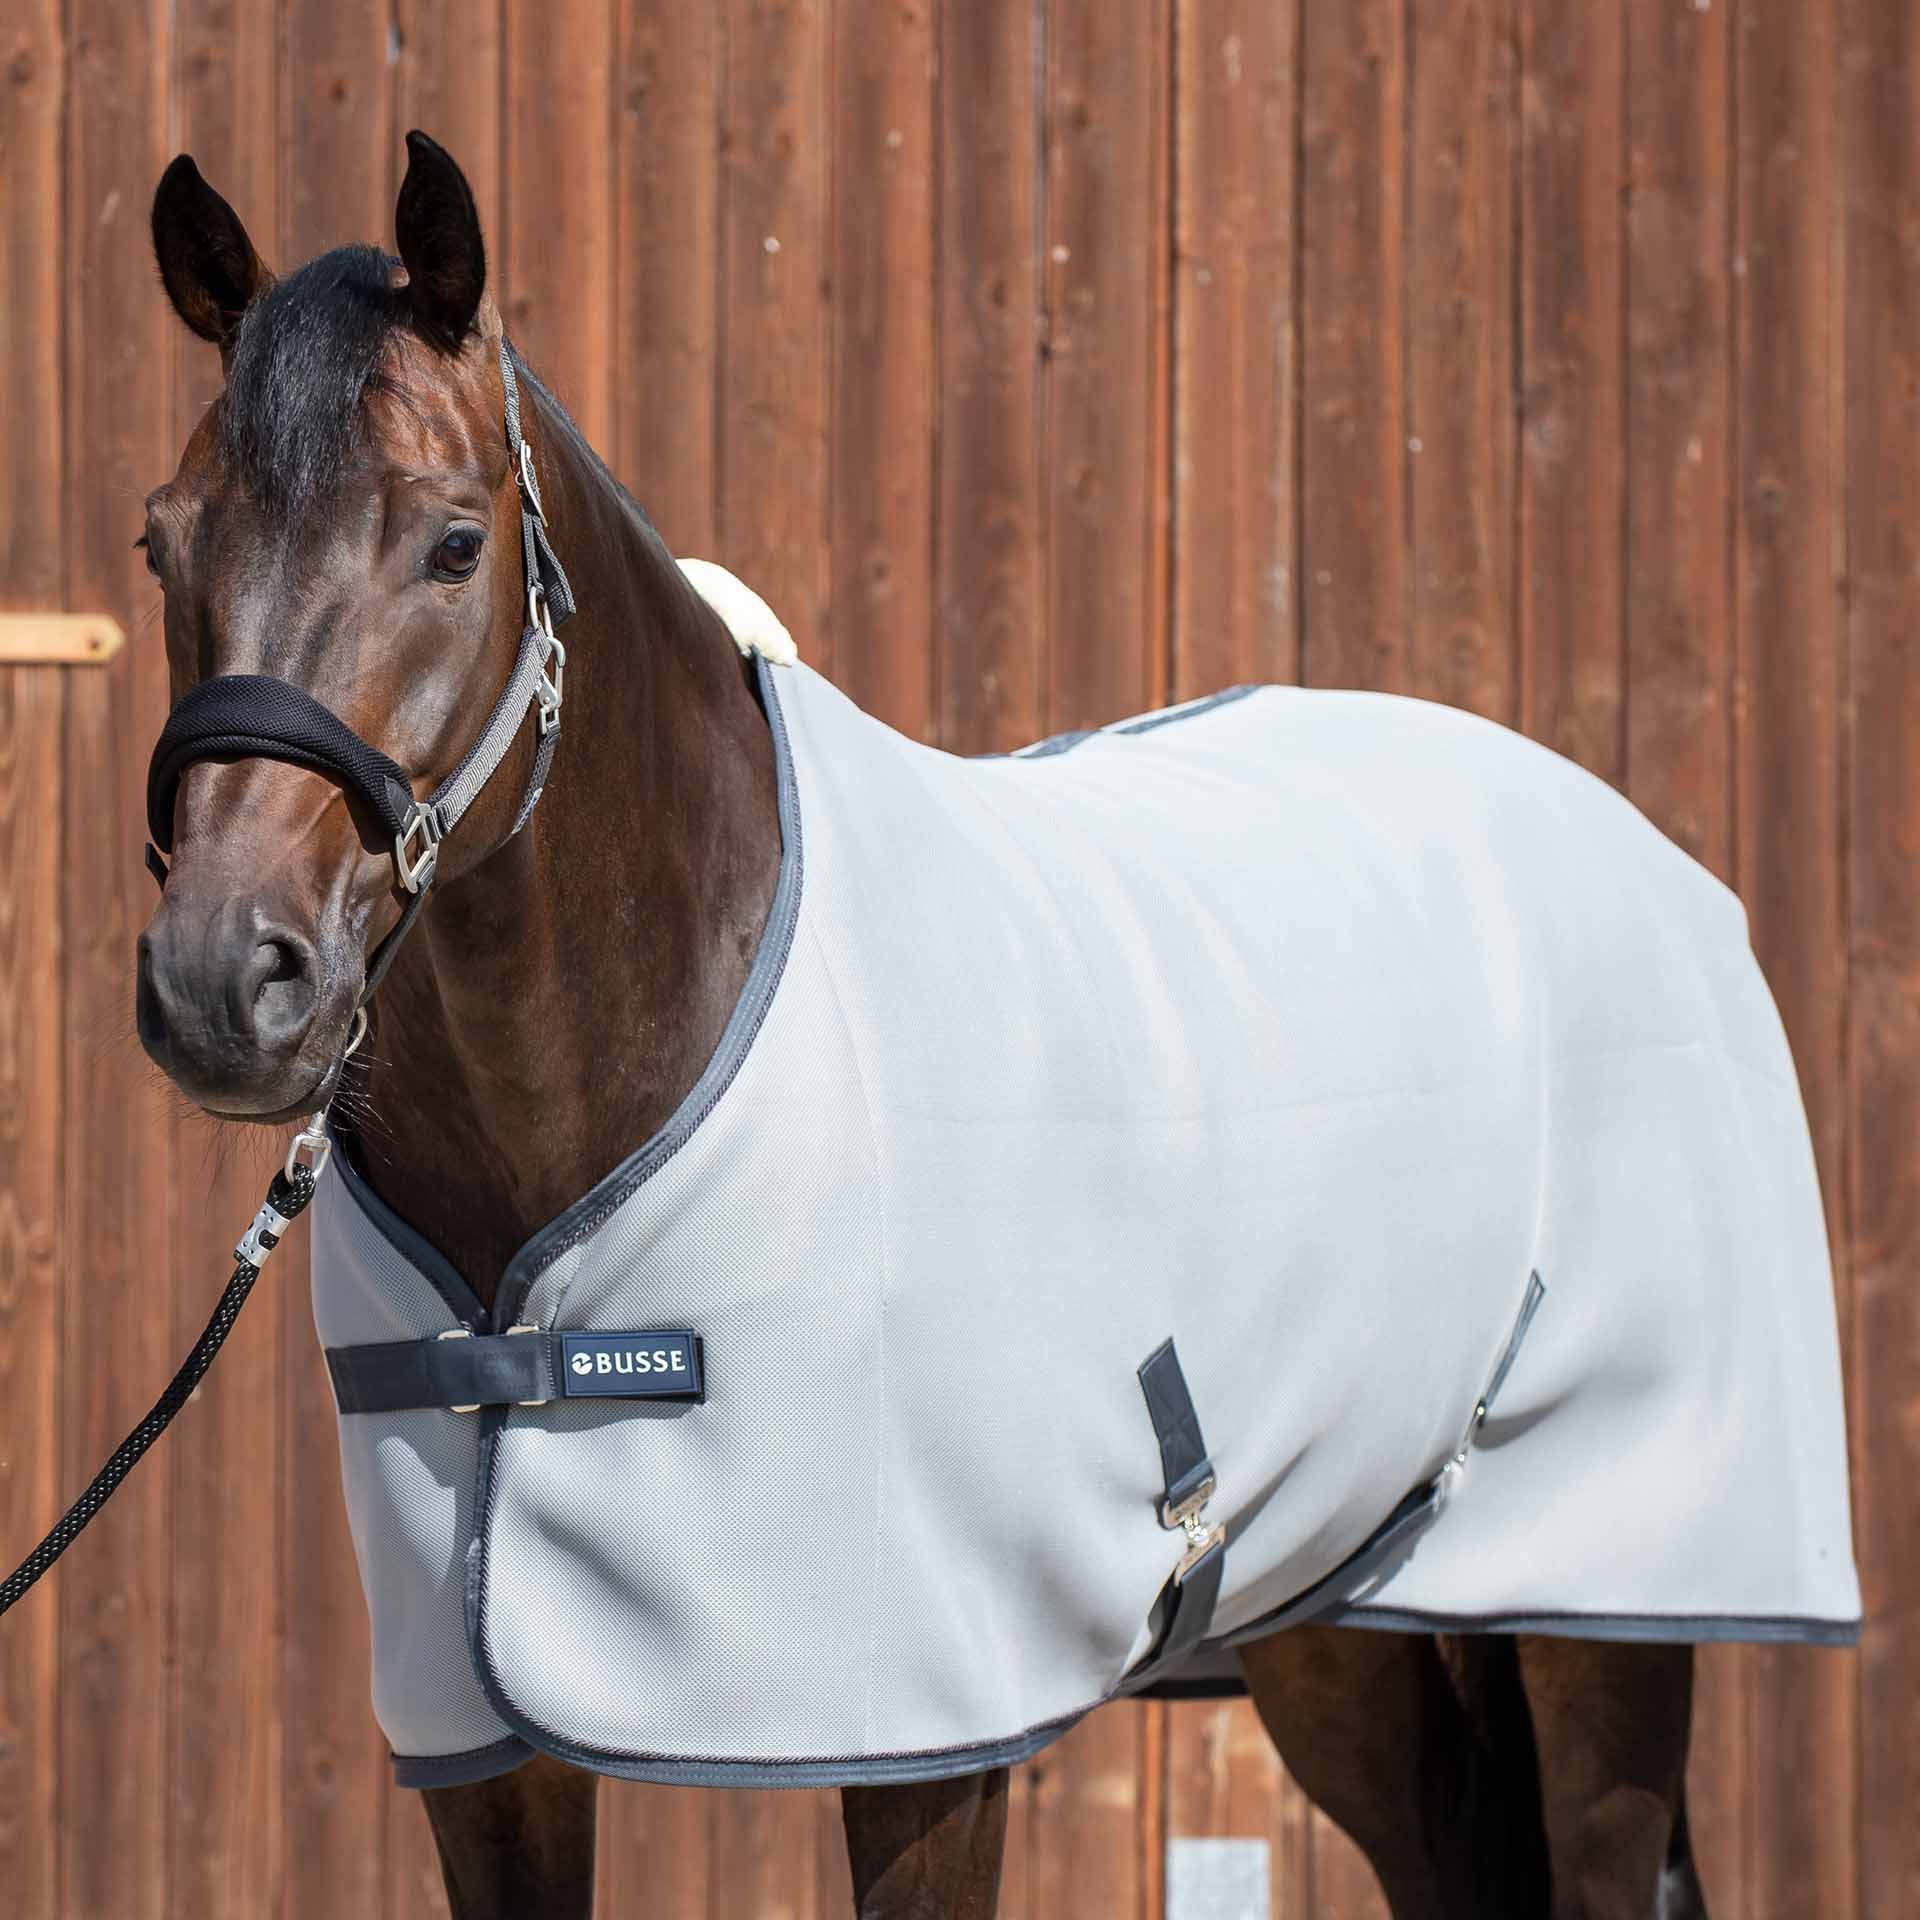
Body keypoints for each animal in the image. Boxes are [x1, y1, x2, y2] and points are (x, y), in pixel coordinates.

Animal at [129, 131, 1738, 1920]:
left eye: (455, 544)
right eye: (160, 544)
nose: (222, 983)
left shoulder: (931, 1732)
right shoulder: (484, 1754)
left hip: (1601, 1620)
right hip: (1338, 1623)